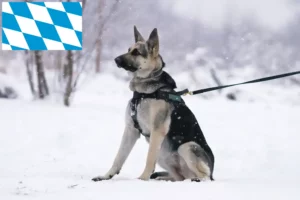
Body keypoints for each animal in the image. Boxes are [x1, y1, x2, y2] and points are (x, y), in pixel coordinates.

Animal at [92, 25, 214, 182]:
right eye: (128, 49)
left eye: (136, 52)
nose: (116, 59)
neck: (144, 94)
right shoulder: (130, 130)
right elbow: (119, 156)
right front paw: (107, 176)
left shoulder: (157, 131)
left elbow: (149, 158)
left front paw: (143, 179)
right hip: (164, 155)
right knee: (178, 177)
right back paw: (161, 178)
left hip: (187, 147)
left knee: (204, 176)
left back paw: (196, 179)